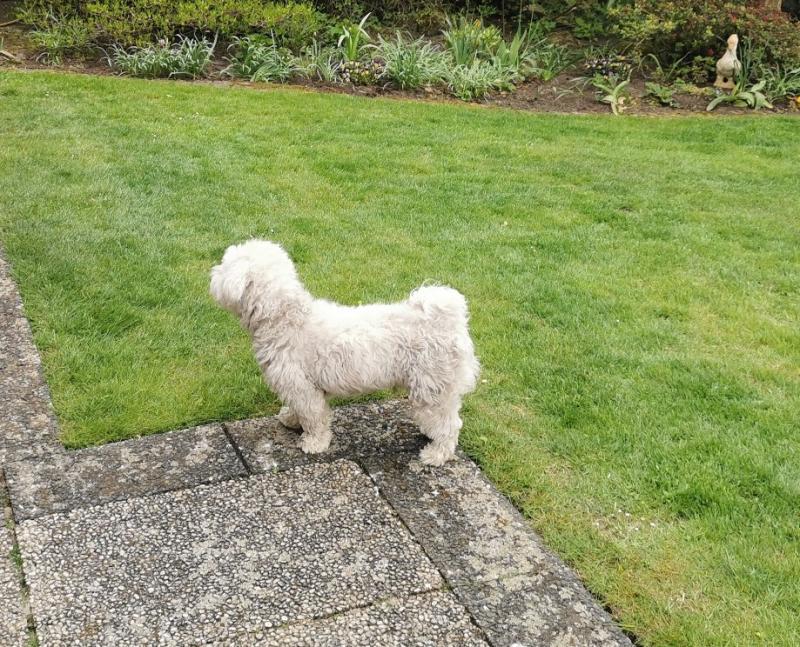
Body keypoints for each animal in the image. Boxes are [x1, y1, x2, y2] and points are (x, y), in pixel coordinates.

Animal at [210, 240, 479, 466]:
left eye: (224, 263)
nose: (212, 272)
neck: (286, 318)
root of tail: (448, 319)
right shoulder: (303, 387)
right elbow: (300, 410)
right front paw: (290, 419)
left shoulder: (302, 386)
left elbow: (314, 417)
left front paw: (314, 443)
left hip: (431, 388)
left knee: (450, 424)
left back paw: (436, 454)